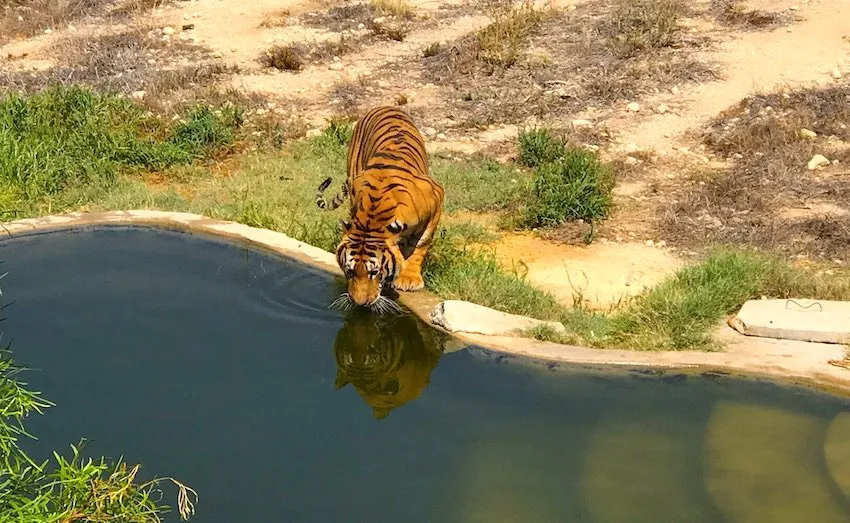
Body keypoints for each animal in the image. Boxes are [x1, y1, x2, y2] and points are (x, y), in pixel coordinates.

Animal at [315, 106, 445, 310]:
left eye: (374, 272)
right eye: (350, 272)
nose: (359, 303)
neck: (373, 216)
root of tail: (384, 106)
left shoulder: (436, 202)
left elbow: (420, 245)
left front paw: (409, 279)